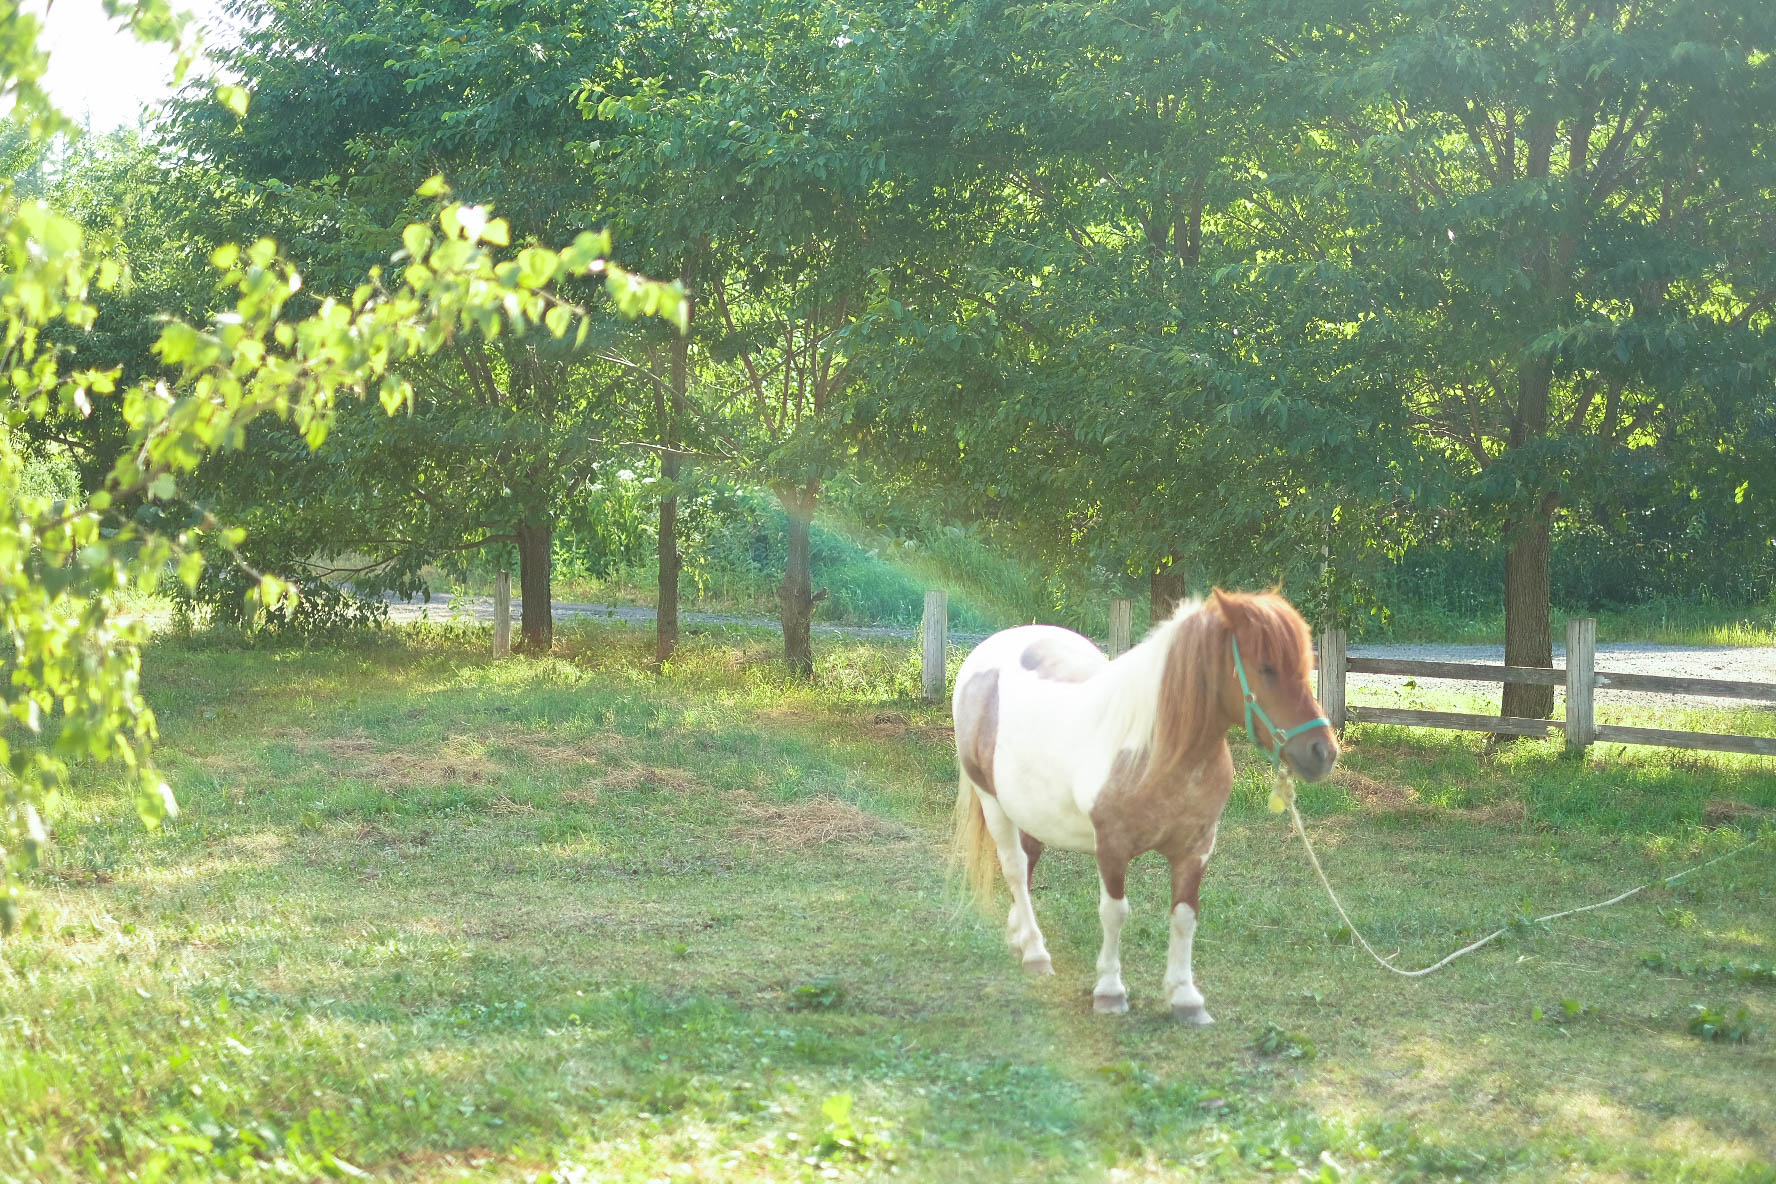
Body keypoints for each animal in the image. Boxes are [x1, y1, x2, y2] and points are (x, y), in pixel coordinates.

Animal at [951, 589, 1335, 1022]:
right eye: (1266, 667)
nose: (1323, 753)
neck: (1156, 750)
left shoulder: (1196, 848)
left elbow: (1185, 916)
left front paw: (1185, 997)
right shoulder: (1112, 848)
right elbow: (1114, 913)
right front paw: (1109, 991)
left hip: (1032, 808)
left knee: (1029, 859)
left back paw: (1019, 936)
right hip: (992, 801)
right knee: (1015, 868)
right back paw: (1035, 952)